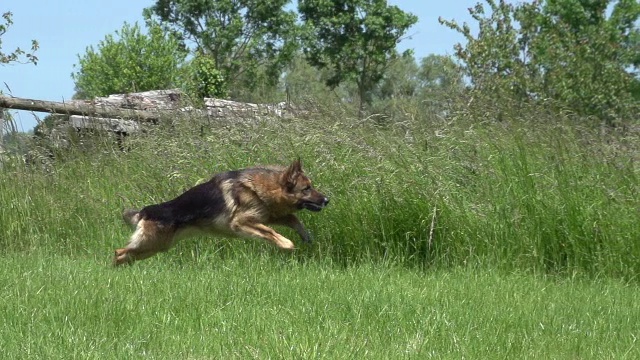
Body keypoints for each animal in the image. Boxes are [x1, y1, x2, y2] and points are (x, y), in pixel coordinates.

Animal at [112, 159, 328, 266]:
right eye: (307, 188)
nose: (327, 200)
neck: (261, 187)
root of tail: (145, 211)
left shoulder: (268, 215)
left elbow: (292, 218)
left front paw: (306, 235)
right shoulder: (241, 222)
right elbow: (271, 232)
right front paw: (286, 244)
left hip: (154, 248)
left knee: (124, 255)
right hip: (151, 244)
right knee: (119, 252)